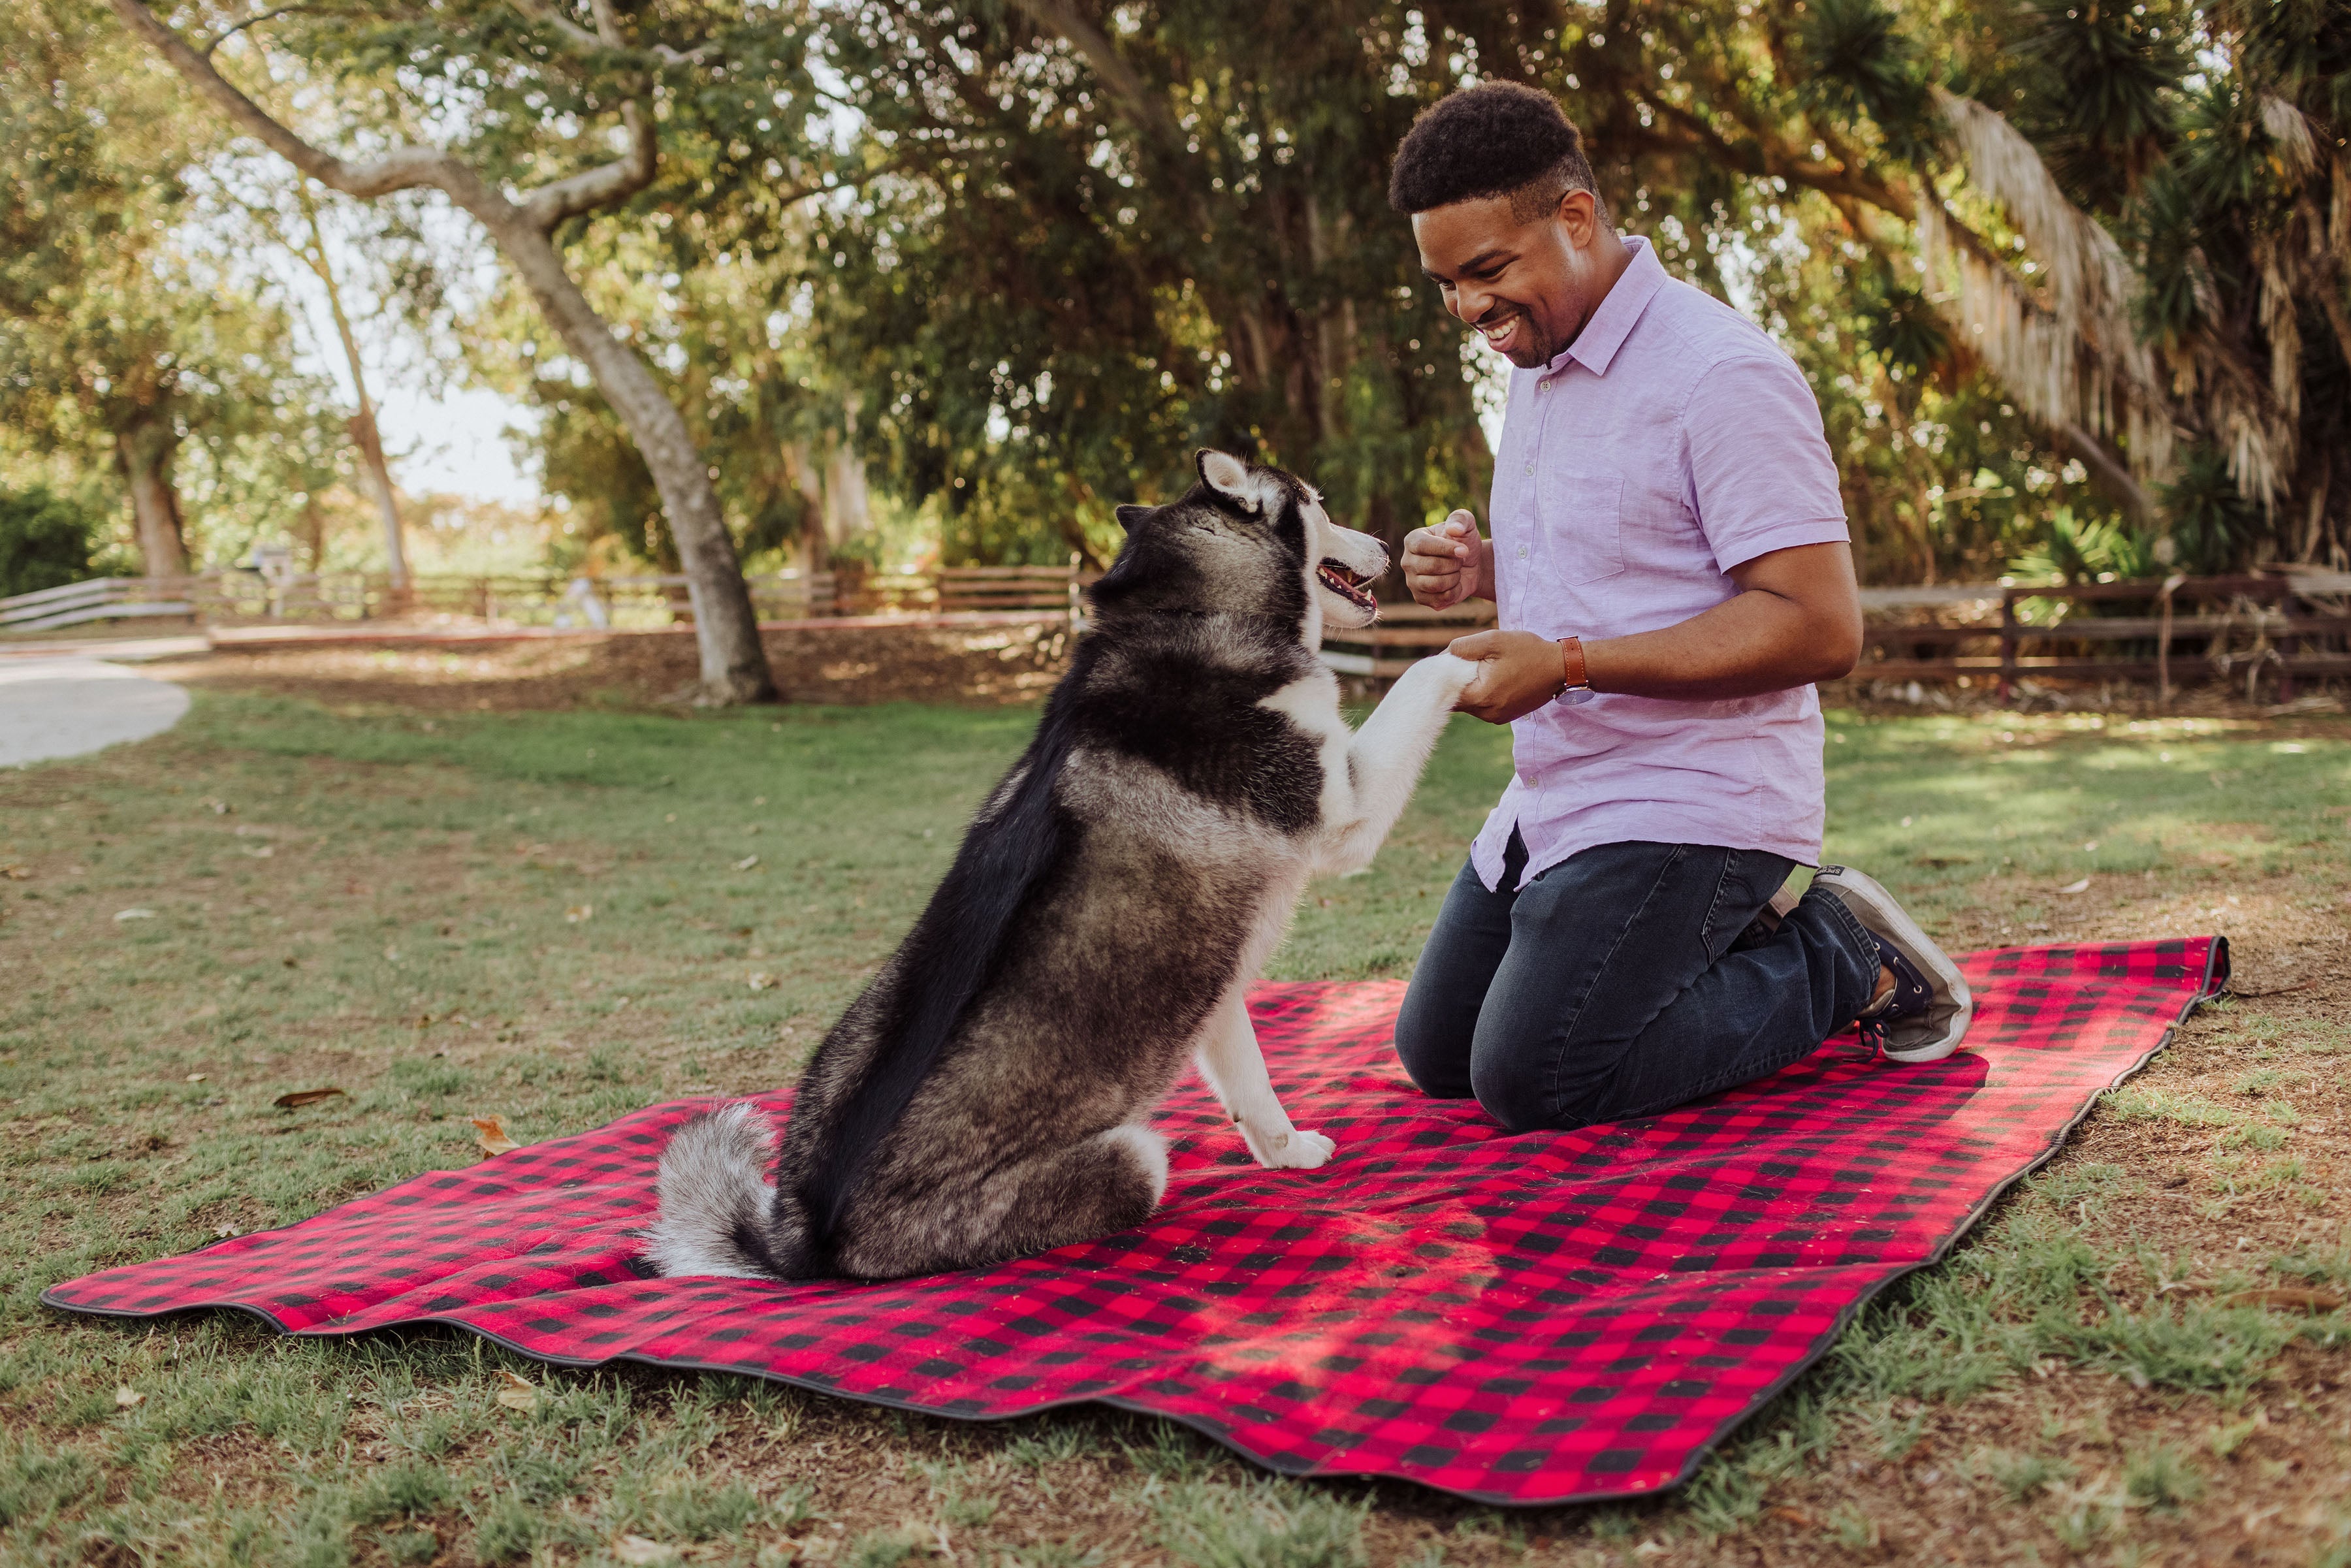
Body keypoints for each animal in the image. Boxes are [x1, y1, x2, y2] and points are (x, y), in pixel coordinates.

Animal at [648, 446, 1467, 1279]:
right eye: (1324, 504)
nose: (1390, 545)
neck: (1190, 615)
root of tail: (806, 1233)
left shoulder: (1213, 984)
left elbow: (1253, 1083)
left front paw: (1287, 1150)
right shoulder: (1344, 811)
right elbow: (1426, 671)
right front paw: (1487, 645)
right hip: (1132, 1158)